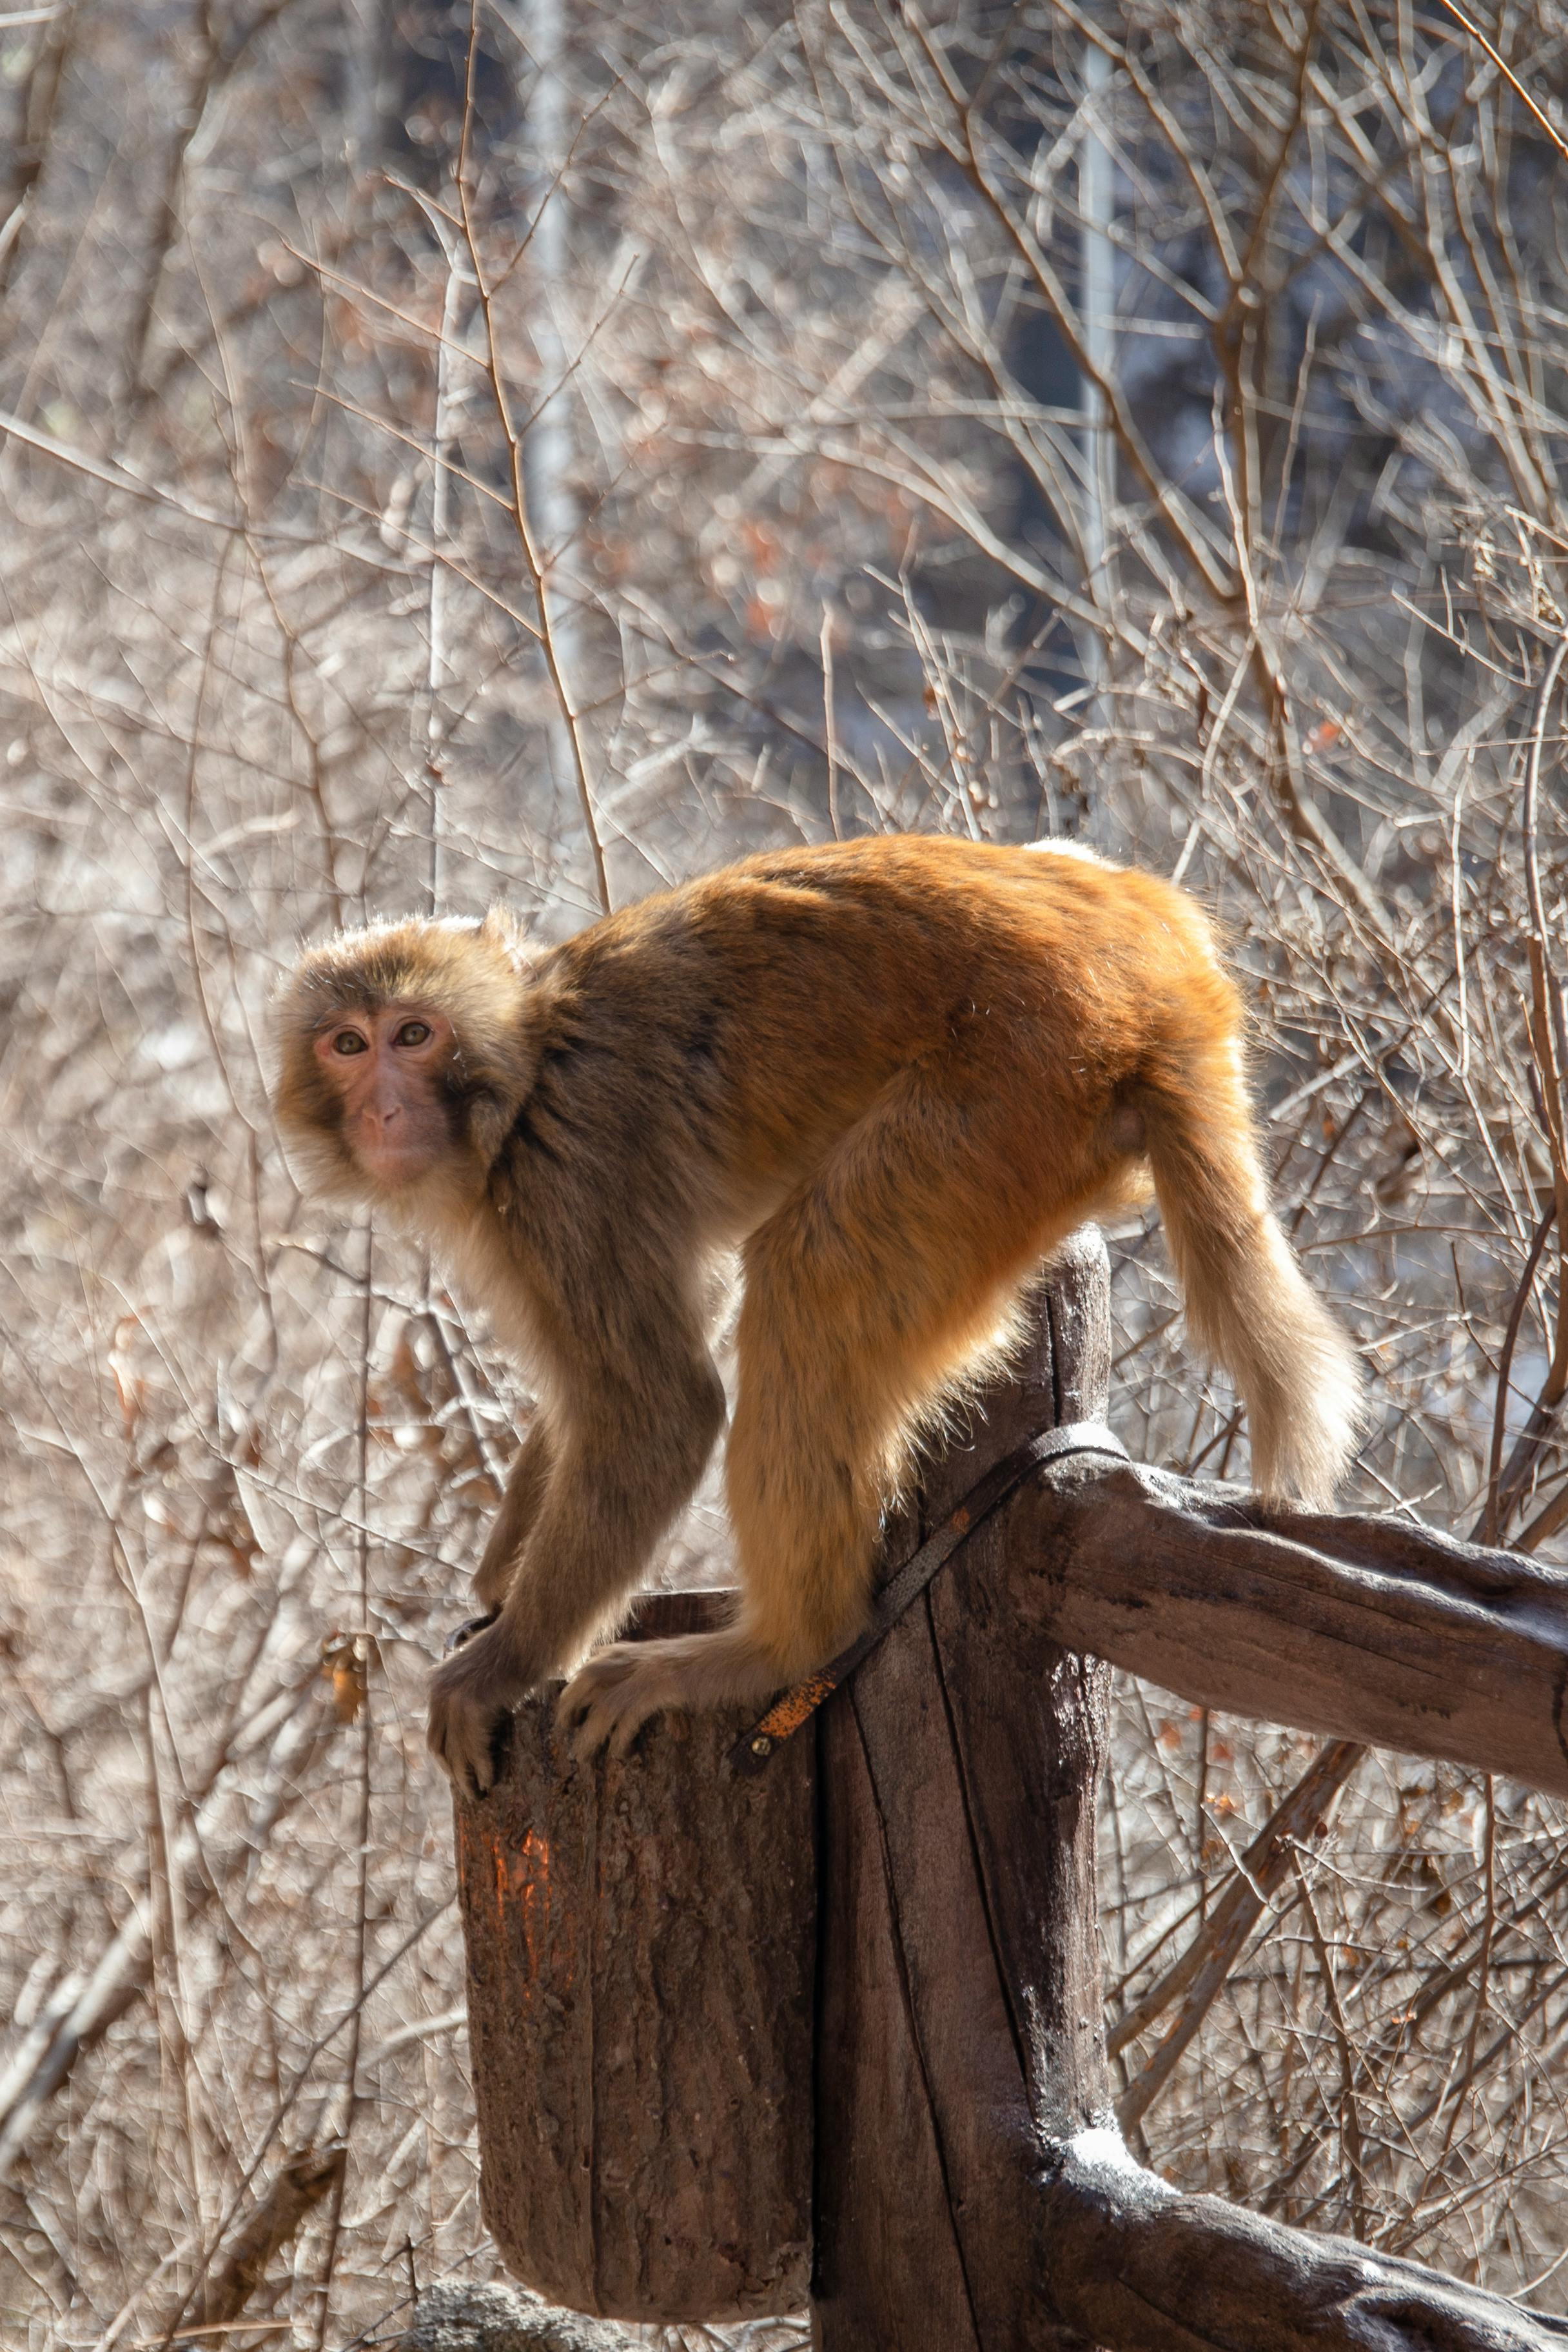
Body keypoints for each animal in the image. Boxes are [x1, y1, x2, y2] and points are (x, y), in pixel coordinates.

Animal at [276, 837, 1363, 1787]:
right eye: (348, 1044)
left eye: (414, 1035)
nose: (381, 1111)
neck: (526, 1062)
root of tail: (1162, 969)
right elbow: (673, 1331)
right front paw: (503, 1576)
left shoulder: (564, 1180)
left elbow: (661, 1415)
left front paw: (502, 1664)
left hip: (1009, 1092)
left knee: (812, 1270)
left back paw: (783, 1646)